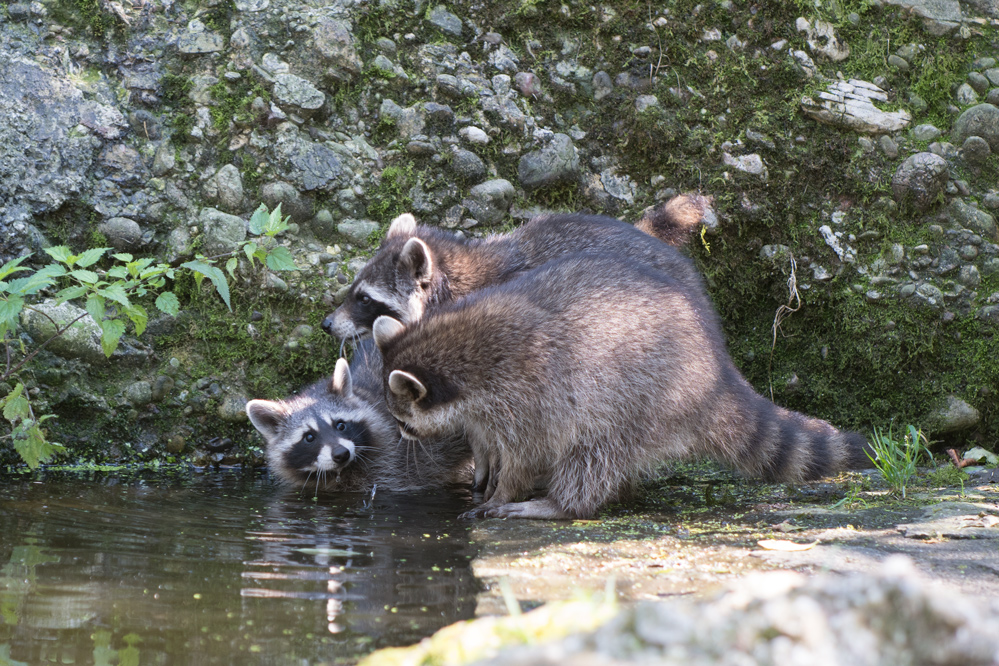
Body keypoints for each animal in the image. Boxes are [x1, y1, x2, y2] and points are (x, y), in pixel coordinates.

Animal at [372, 254, 872, 520]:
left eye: (403, 421)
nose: (401, 440)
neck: (457, 344)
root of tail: (715, 372)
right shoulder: (490, 408)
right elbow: (493, 446)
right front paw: (487, 477)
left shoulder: (529, 394)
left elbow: (526, 455)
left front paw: (502, 492)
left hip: (640, 398)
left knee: (593, 454)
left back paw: (559, 505)